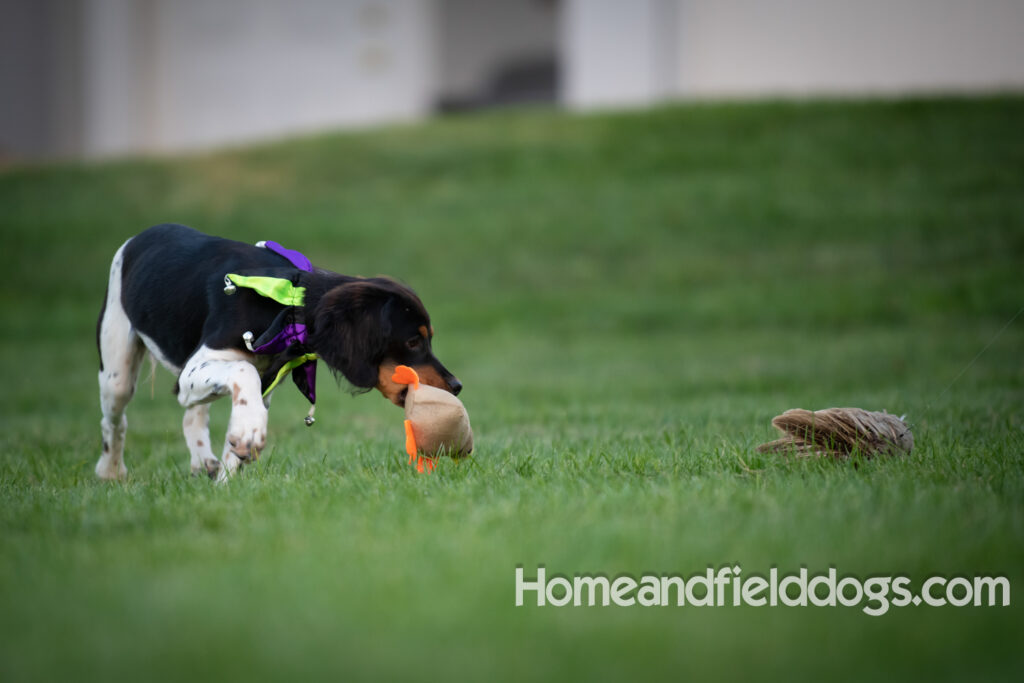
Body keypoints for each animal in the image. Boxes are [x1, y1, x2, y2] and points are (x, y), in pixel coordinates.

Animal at [96, 224, 464, 481]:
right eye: (414, 342)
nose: (456, 385)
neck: (288, 302)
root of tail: (139, 237)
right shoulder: (198, 368)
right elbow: (242, 375)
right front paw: (248, 433)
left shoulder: (265, 379)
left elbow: (240, 425)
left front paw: (229, 476)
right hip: (117, 371)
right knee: (115, 421)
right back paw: (110, 472)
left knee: (192, 413)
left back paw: (203, 462)